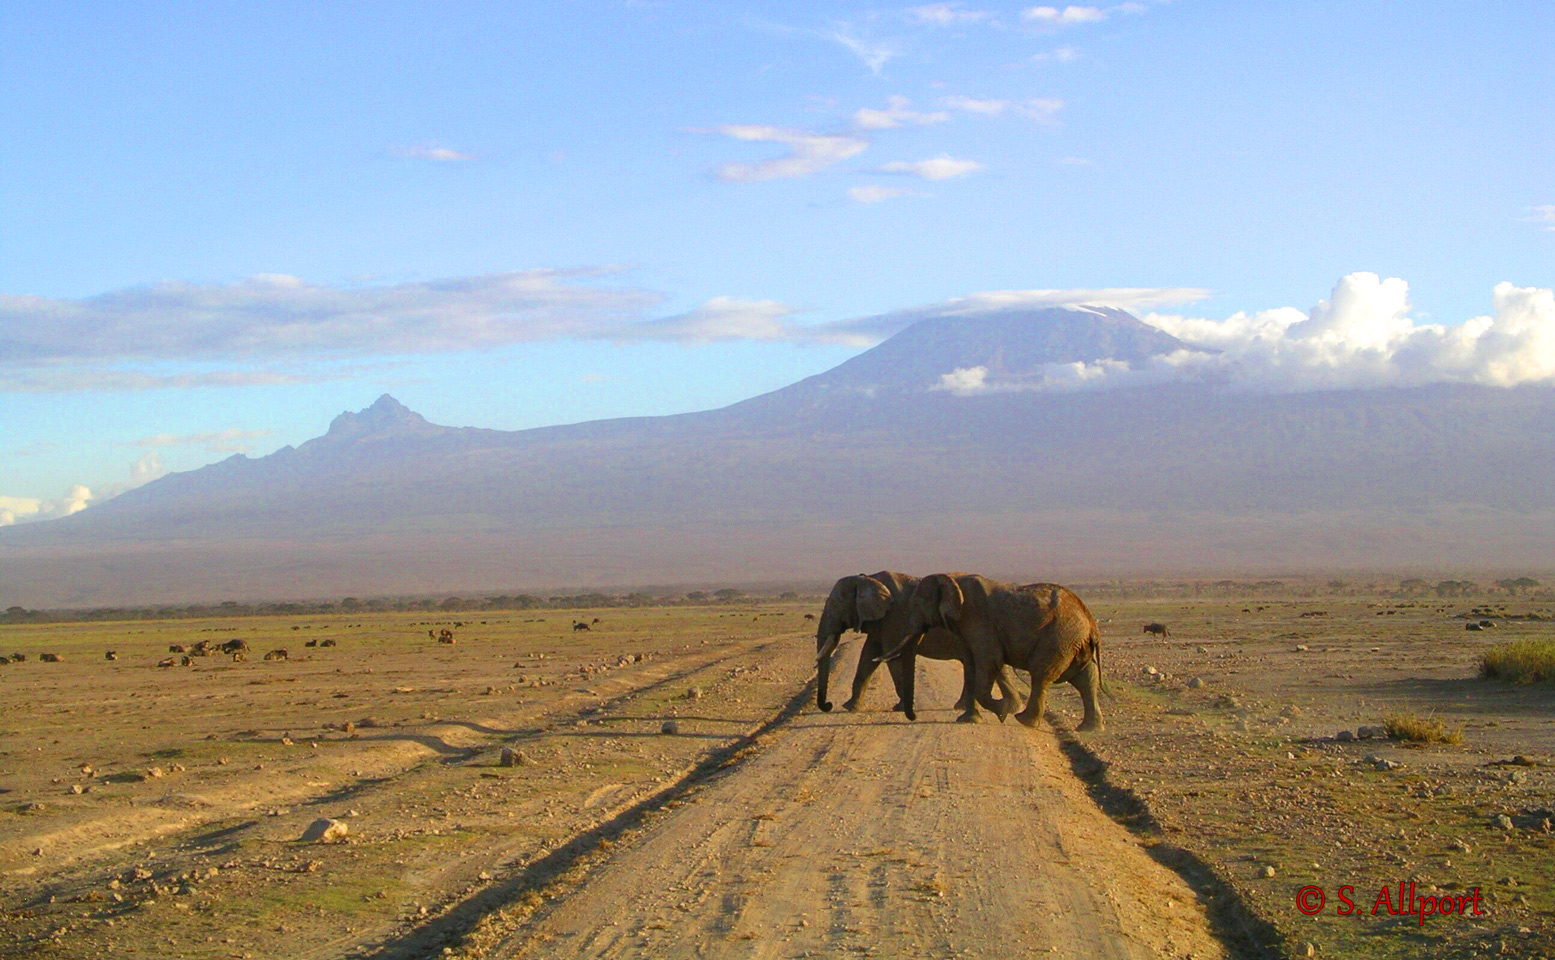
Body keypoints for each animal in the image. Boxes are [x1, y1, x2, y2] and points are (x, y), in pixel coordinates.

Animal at [814, 571, 1019, 721]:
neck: (867, 578)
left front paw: (899, 708)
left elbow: (891, 659)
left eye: (834, 606)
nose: (828, 705)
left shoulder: (893, 618)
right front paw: (850, 707)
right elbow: (868, 656)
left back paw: (1007, 709)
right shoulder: (880, 622)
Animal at [882, 573, 1103, 730]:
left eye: (917, 605)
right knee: (1085, 678)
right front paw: (968, 720)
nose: (912, 716)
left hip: (1060, 637)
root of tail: (1089, 618)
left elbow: (989, 661)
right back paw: (1089, 729)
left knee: (1042, 674)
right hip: (1073, 641)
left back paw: (1024, 720)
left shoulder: (978, 619)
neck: (951, 578)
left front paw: (1002, 713)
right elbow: (971, 664)